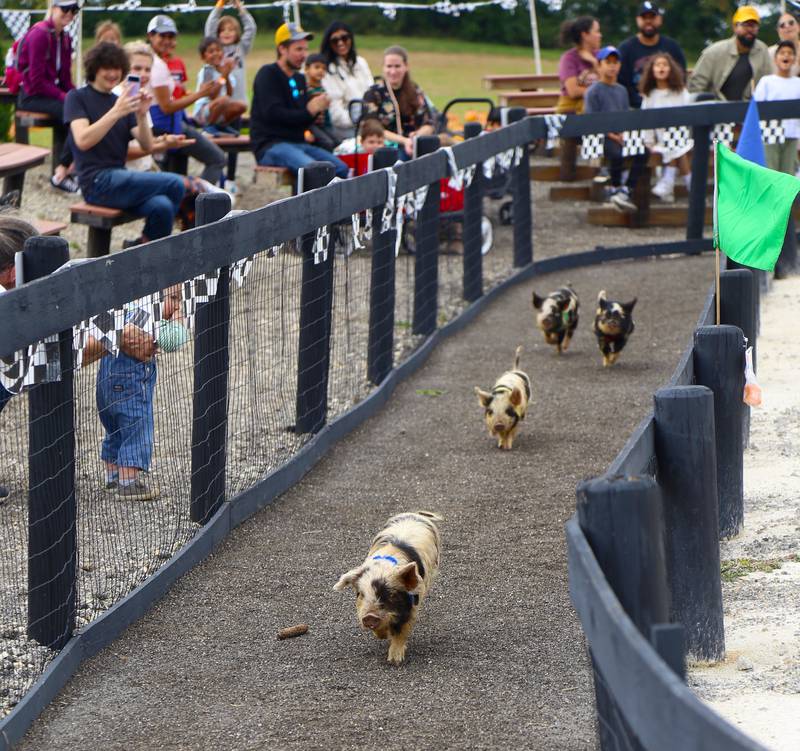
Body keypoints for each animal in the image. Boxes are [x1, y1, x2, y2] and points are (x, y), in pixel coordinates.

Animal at [332, 512, 444, 664]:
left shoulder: (413, 605)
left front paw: (395, 661)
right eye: (360, 594)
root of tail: (415, 514)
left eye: (391, 594)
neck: (382, 568)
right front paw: (383, 637)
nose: (369, 616)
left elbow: (401, 631)